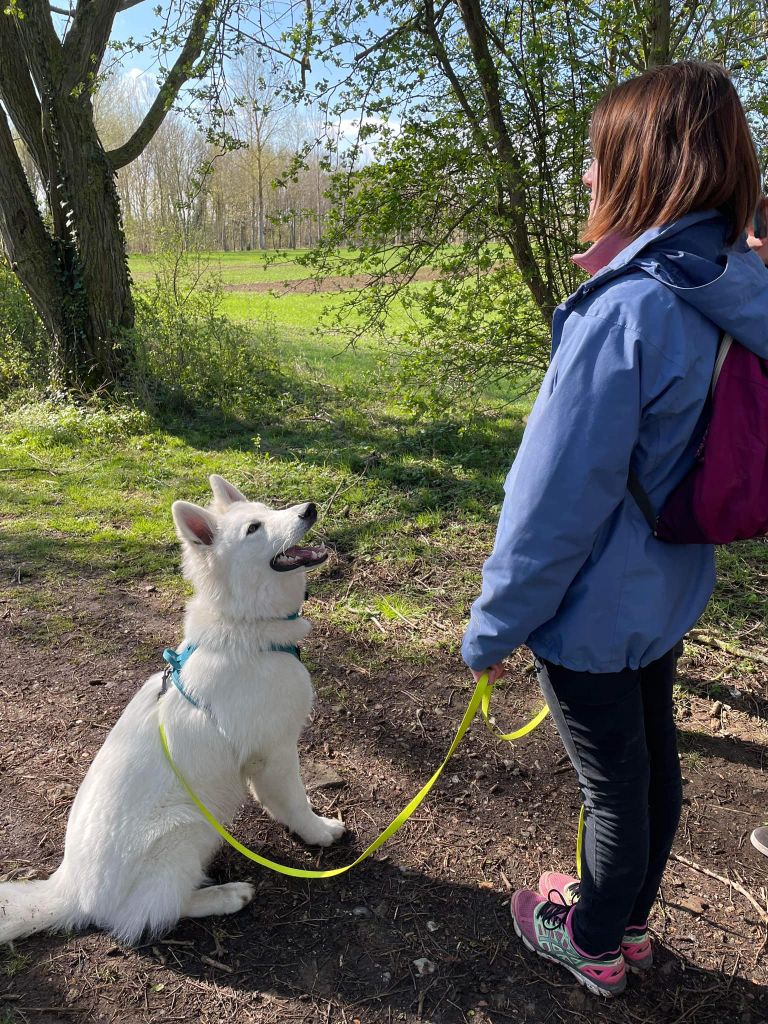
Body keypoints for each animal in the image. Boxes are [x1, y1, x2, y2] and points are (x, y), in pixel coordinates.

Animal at [0, 475, 348, 946]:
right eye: (254, 529)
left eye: (268, 510)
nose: (309, 509)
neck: (246, 628)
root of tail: (71, 892)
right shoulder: (273, 754)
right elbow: (293, 802)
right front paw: (319, 832)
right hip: (191, 823)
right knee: (151, 915)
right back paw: (225, 895)